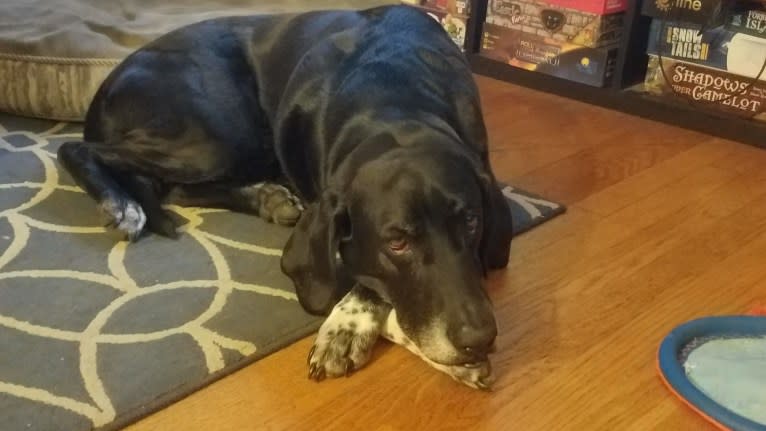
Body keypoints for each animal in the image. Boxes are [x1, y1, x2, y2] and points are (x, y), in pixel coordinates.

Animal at [58, 3, 516, 390]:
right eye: (397, 242)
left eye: (471, 222)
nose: (480, 338)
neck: (395, 102)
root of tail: (106, 84)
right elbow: (371, 283)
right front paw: (348, 325)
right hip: (220, 133)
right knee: (77, 149)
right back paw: (122, 205)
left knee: (171, 186)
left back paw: (267, 198)